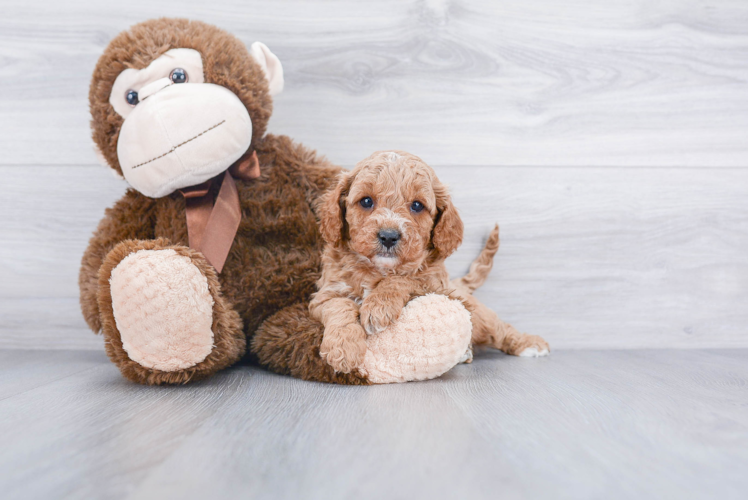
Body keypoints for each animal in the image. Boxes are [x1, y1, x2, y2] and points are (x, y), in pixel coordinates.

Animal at [310, 150, 548, 374]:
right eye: (366, 201)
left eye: (417, 205)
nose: (388, 236)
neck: (380, 270)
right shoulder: (324, 295)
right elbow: (339, 307)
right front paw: (343, 349)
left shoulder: (436, 286)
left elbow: (404, 279)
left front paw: (379, 306)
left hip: (478, 314)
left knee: (500, 329)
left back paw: (530, 343)